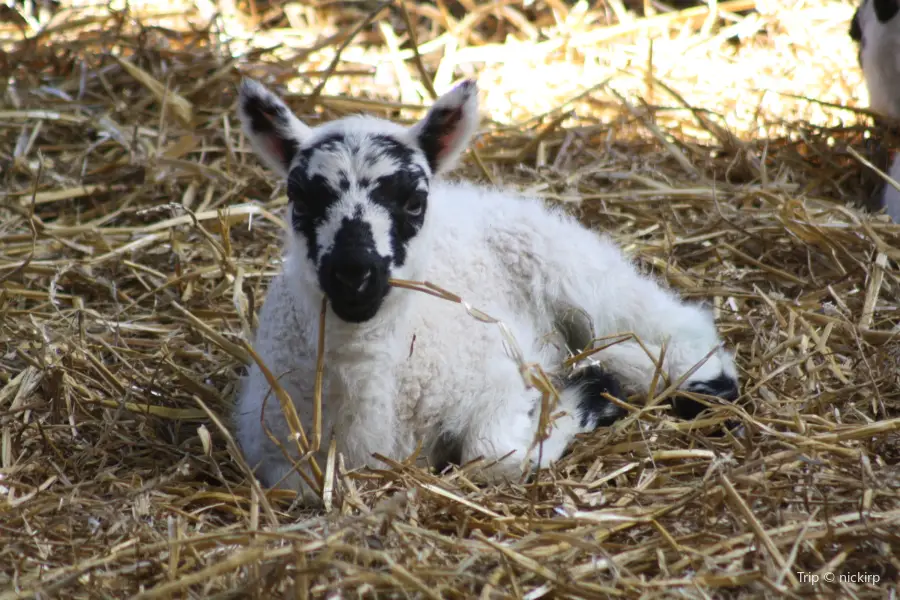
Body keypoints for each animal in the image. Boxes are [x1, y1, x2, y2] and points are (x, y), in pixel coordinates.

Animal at [230, 77, 740, 504]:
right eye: (300, 200)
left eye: (414, 202)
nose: (354, 274)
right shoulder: (273, 446)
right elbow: (295, 483)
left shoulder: (495, 380)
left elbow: (493, 455)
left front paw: (583, 398)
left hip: (571, 265)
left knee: (678, 327)